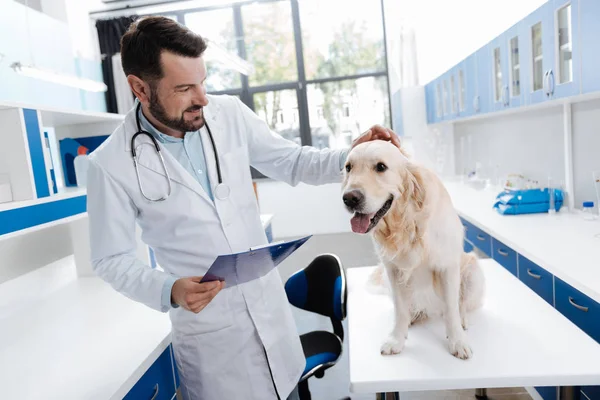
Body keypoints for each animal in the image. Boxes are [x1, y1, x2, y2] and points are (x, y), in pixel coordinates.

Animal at [342, 141, 482, 360]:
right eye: (349, 167)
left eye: (381, 167)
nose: (349, 198)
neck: (406, 221)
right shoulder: (392, 270)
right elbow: (400, 310)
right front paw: (396, 339)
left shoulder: (447, 267)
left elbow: (452, 309)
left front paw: (457, 341)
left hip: (472, 271)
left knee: (461, 305)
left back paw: (462, 321)